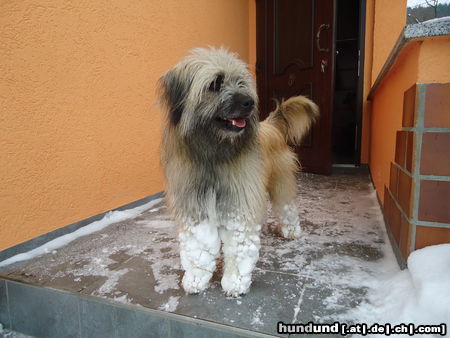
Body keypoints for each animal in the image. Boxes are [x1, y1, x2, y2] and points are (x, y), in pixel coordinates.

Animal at [160, 47, 318, 296]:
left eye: (241, 82)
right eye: (215, 83)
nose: (249, 102)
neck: (214, 153)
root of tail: (270, 125)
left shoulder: (239, 203)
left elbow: (239, 244)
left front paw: (235, 282)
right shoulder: (195, 204)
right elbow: (199, 244)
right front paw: (196, 279)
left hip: (281, 181)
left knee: (287, 207)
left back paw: (291, 230)